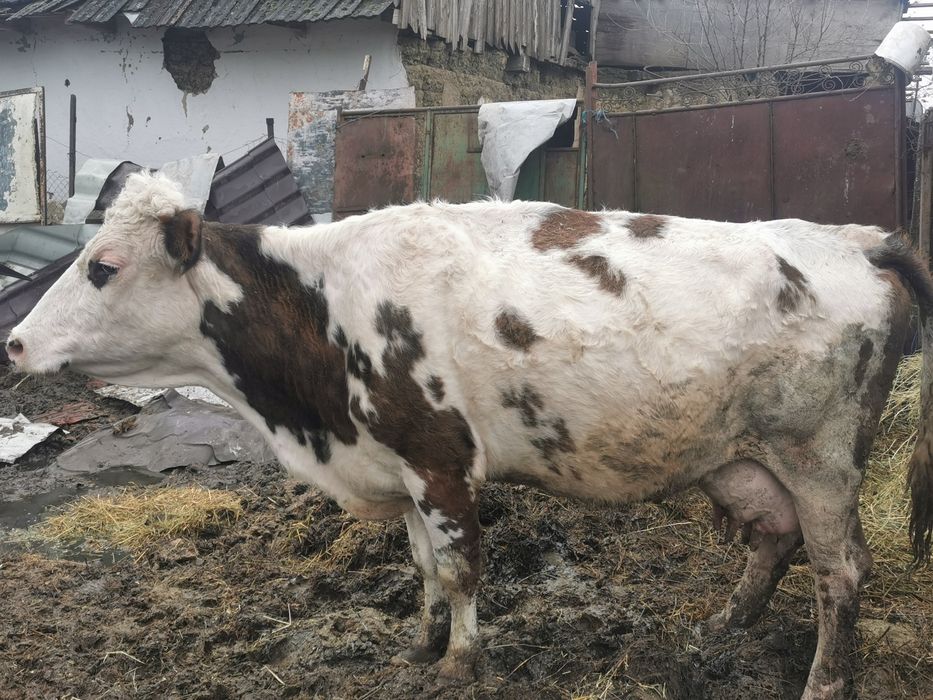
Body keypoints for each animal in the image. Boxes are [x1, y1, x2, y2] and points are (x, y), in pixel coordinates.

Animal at [6, 172, 933, 700]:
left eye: (103, 266)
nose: (13, 342)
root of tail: (855, 238)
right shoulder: (399, 465)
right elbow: (421, 566)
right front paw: (419, 647)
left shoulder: (440, 460)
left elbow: (456, 567)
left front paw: (459, 663)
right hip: (740, 455)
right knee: (773, 537)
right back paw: (725, 627)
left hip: (820, 456)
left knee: (841, 570)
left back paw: (824, 681)